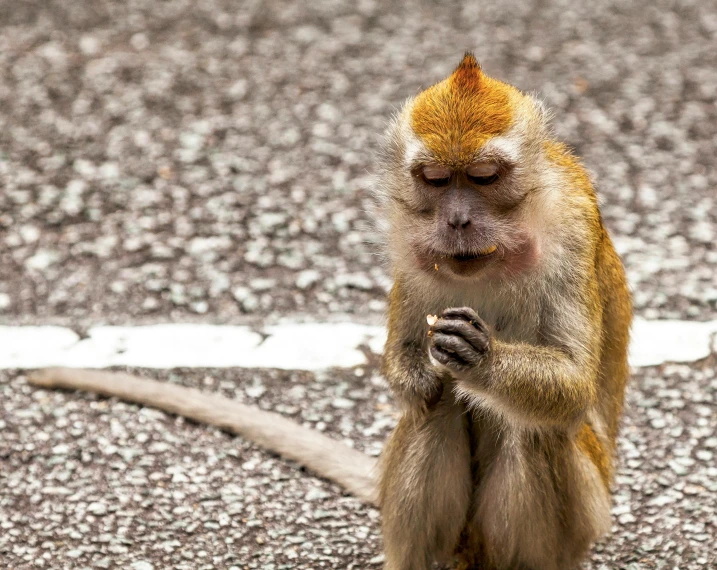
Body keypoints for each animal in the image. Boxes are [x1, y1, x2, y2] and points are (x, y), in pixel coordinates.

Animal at [28, 53, 628, 568]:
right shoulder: (409, 242)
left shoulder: (573, 225)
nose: (457, 219)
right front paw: (424, 367)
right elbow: (414, 370)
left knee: (533, 430)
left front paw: (483, 360)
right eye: (435, 179)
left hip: (586, 514)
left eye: (483, 176)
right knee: (436, 412)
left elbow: (572, 384)